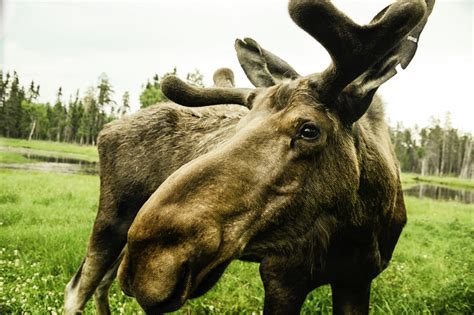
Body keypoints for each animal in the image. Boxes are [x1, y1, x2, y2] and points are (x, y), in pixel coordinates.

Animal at [65, 0, 436, 314]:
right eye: (242, 122)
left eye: (309, 130)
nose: (151, 263)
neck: (360, 226)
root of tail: (105, 129)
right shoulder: (281, 275)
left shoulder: (358, 279)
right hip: (112, 221)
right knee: (78, 288)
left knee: (101, 286)